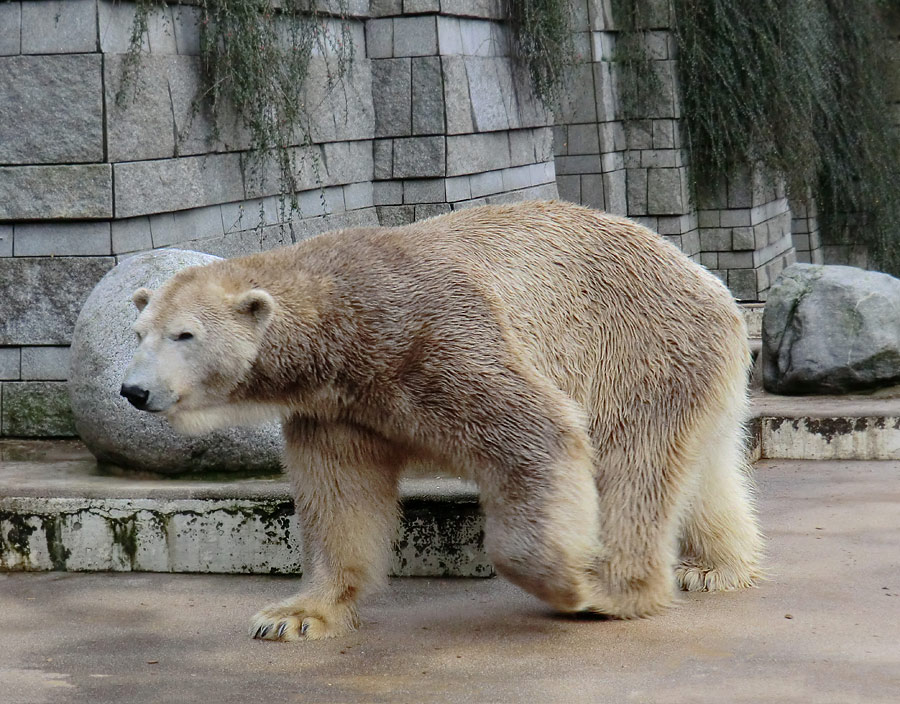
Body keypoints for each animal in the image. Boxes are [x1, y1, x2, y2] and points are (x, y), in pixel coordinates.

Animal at [121, 201, 760, 640]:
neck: (340, 324)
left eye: (185, 334)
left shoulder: (434, 337)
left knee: (633, 467)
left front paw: (569, 581)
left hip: (636, 352)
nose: (133, 389)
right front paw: (294, 615)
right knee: (703, 467)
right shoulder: (339, 408)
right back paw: (715, 567)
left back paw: (619, 588)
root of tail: (706, 278)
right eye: (138, 332)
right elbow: (340, 497)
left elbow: (536, 433)